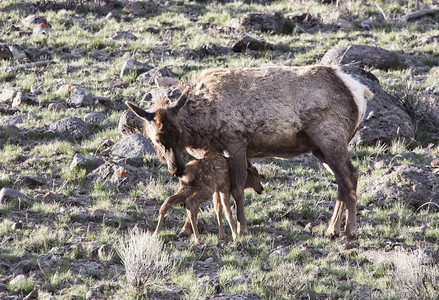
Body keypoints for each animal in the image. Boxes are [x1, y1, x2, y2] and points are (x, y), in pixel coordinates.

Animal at [127, 65, 374, 239]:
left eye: (177, 134)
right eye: (156, 139)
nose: (176, 169)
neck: (202, 127)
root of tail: (361, 92)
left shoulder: (236, 143)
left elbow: (237, 189)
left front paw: (241, 229)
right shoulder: (211, 153)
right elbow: (212, 197)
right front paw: (186, 229)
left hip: (332, 139)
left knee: (350, 176)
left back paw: (350, 231)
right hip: (319, 148)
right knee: (341, 180)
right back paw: (332, 230)